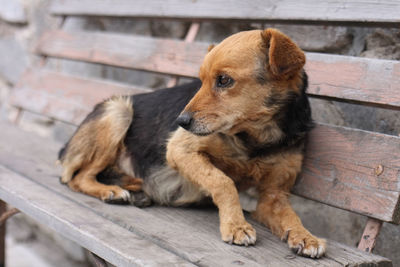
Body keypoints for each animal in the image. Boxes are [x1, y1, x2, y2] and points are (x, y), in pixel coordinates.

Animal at [60, 29, 328, 260]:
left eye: (224, 80)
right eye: (201, 81)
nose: (181, 121)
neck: (256, 138)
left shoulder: (274, 196)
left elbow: (291, 216)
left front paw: (306, 237)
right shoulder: (180, 150)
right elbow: (223, 182)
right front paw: (236, 225)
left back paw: (133, 188)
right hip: (119, 111)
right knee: (77, 178)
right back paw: (111, 192)